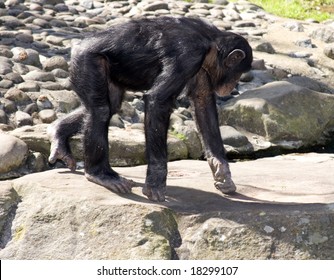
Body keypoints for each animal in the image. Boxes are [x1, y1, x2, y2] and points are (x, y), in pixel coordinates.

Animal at [47, 15, 253, 201]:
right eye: (238, 73)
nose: (233, 85)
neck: (210, 43)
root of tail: (77, 46)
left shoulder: (202, 69)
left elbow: (203, 103)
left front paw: (222, 171)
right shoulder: (188, 57)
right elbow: (158, 101)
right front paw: (155, 184)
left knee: (110, 105)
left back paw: (58, 134)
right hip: (87, 62)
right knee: (101, 110)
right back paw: (100, 174)